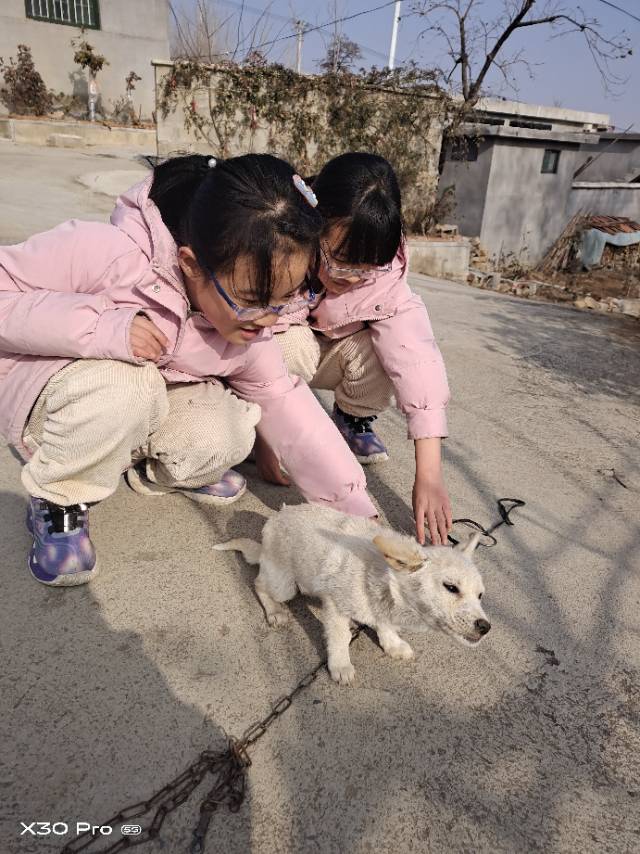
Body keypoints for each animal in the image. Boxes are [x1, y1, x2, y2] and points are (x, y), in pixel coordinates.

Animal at [214, 504, 490, 685]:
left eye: (480, 596)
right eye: (451, 587)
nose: (485, 627)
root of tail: (275, 519)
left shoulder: (381, 610)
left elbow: (384, 625)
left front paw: (392, 644)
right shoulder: (335, 606)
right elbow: (339, 638)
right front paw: (340, 665)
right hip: (284, 585)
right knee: (258, 583)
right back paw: (273, 611)